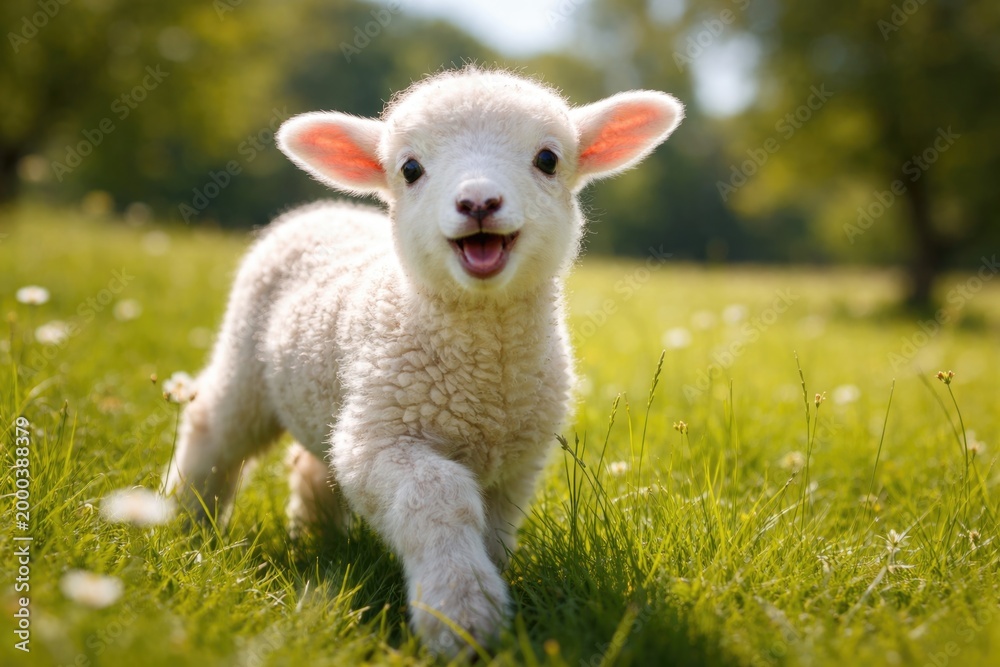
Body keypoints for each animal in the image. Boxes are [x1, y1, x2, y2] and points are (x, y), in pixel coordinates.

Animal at [164, 66, 683, 656]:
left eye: (548, 159)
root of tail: (324, 209)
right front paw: (461, 614)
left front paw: (484, 590)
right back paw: (185, 521)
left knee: (314, 461)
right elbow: (440, 496)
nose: (478, 202)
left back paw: (317, 536)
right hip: (246, 361)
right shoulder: (383, 439)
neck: (487, 371)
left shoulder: (517, 463)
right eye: (410, 169)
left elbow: (495, 531)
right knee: (213, 425)